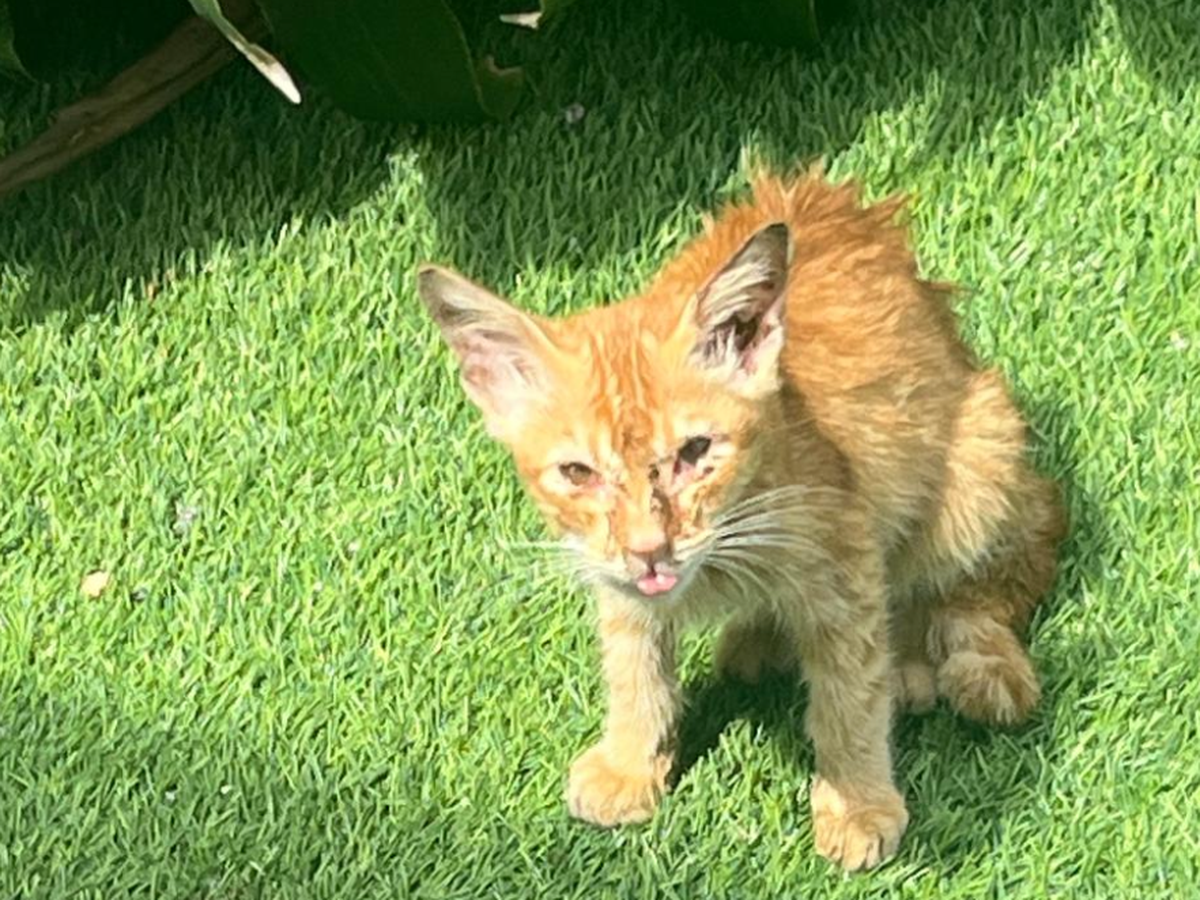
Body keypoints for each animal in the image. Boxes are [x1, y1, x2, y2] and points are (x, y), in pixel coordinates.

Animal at [416, 169, 1065, 871]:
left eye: (696, 452)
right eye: (578, 473)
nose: (650, 549)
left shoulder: (847, 563)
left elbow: (849, 695)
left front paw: (858, 802)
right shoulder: (612, 572)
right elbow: (633, 662)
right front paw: (630, 762)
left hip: (980, 453)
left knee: (1020, 552)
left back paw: (969, 664)